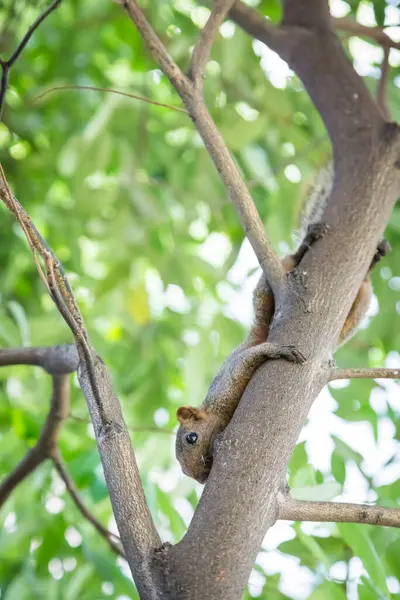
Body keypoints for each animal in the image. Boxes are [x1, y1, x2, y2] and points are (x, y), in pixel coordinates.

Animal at [175, 166, 390, 486]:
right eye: (187, 473)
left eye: (191, 437)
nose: (202, 477)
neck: (213, 409)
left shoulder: (228, 383)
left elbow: (251, 360)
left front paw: (278, 351)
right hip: (360, 304)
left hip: (270, 286)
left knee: (289, 264)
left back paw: (311, 245)